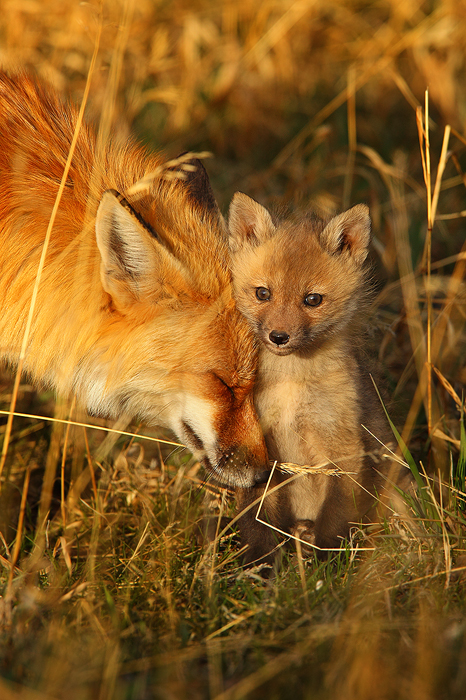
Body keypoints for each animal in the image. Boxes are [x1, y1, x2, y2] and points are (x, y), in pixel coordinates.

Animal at [228, 191, 396, 564]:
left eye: (313, 299)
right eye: (263, 293)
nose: (278, 337)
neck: (291, 384)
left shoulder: (343, 448)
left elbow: (334, 516)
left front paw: (325, 564)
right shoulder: (258, 447)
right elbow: (257, 520)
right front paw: (259, 565)